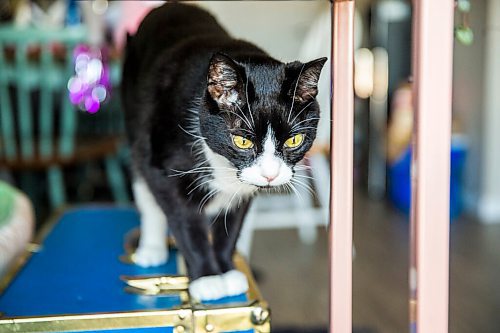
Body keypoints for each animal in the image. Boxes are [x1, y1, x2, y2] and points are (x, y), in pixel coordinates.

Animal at [122, 1, 328, 298]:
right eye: (243, 141)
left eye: (293, 140)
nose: (270, 174)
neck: (224, 165)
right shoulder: (164, 170)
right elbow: (185, 221)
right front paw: (207, 277)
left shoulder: (244, 191)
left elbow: (231, 225)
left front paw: (227, 271)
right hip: (138, 129)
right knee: (143, 185)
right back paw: (151, 248)